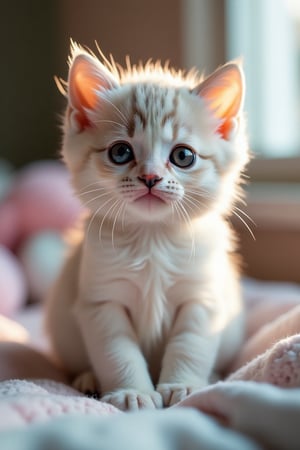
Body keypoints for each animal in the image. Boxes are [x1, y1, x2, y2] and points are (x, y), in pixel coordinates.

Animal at [45, 42, 250, 412]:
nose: (151, 177)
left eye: (183, 156)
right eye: (120, 152)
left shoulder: (202, 300)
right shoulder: (101, 303)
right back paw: (88, 378)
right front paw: (132, 392)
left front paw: (183, 386)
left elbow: (189, 345)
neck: (153, 239)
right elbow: (117, 351)